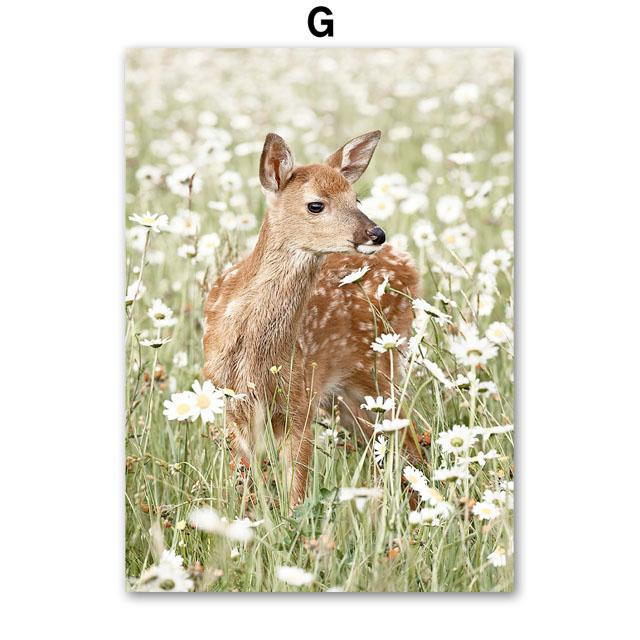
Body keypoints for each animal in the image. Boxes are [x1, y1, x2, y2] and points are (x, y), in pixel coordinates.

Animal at [203, 130, 422, 509]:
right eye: (316, 205)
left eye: (355, 197)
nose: (376, 234)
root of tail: (409, 264)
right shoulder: (232, 404)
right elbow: (243, 483)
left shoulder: (301, 400)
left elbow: (296, 492)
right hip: (350, 396)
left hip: (380, 370)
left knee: (410, 438)